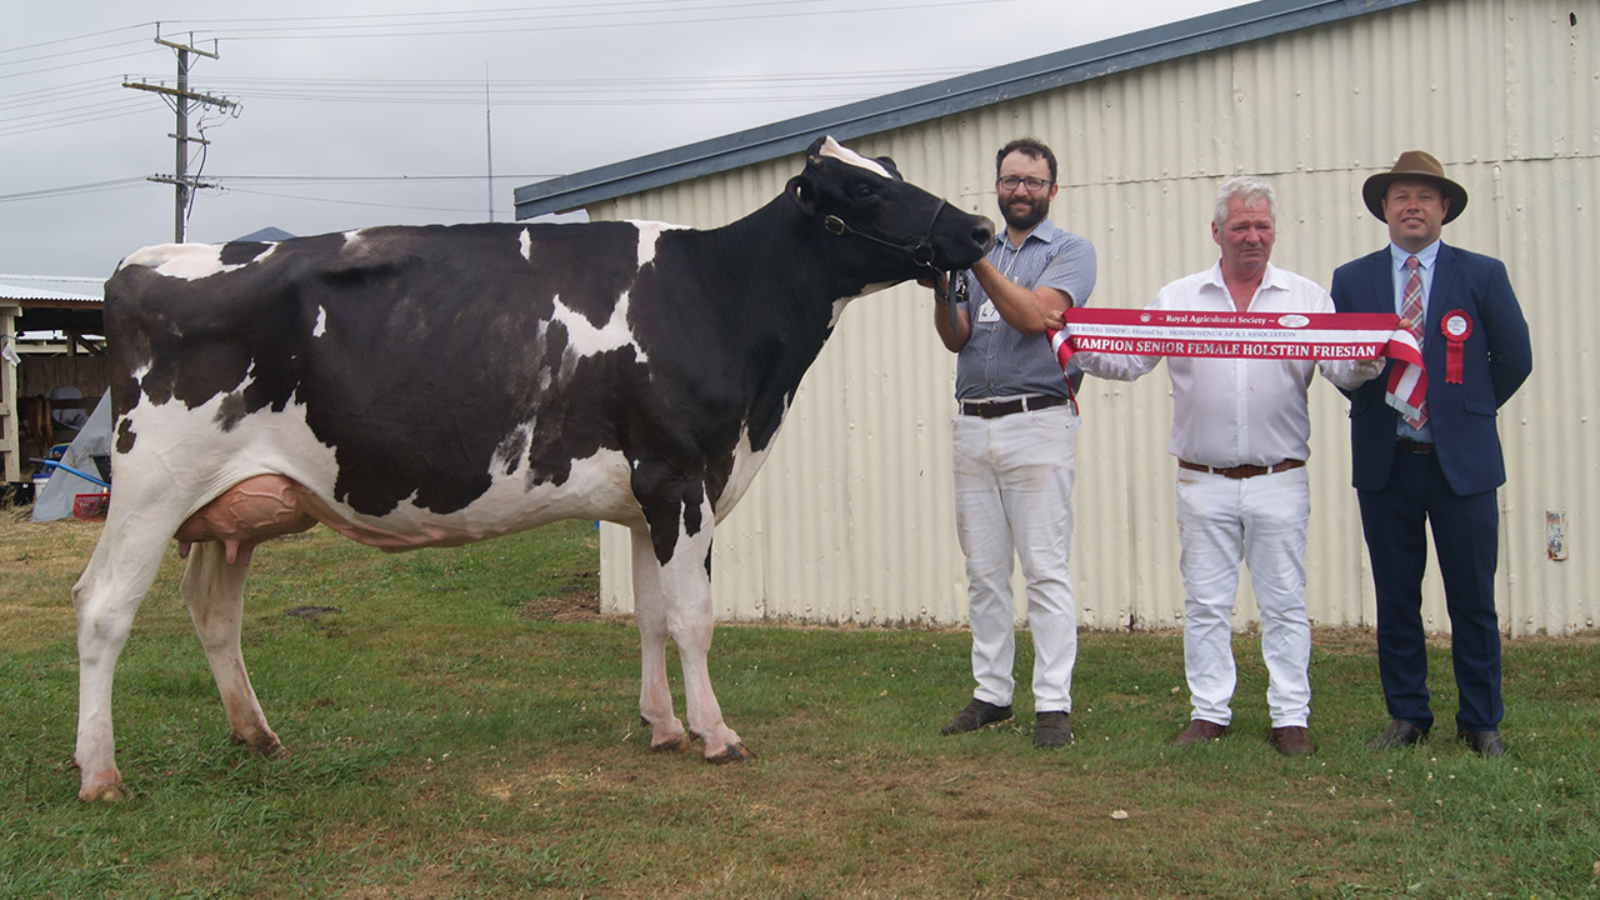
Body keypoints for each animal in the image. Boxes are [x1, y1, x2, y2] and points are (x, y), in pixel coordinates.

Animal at [71, 136, 993, 801]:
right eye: (864, 191)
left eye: (892, 171)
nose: (981, 231)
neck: (720, 298)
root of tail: (141, 263)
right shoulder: (681, 475)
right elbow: (695, 618)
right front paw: (716, 736)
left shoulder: (642, 497)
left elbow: (651, 618)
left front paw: (663, 728)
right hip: (153, 481)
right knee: (103, 606)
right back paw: (101, 774)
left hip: (233, 508)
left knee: (211, 610)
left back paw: (256, 735)